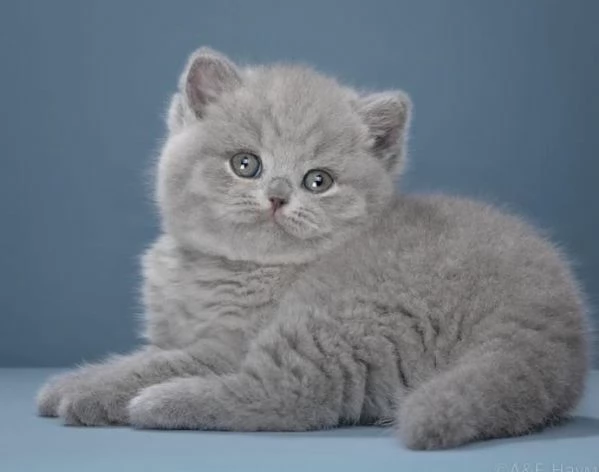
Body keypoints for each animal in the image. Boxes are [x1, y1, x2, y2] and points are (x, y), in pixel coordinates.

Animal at [37, 48, 592, 450]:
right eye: (246, 164)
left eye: (317, 180)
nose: (279, 196)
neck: (228, 267)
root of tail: (545, 329)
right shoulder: (172, 334)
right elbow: (145, 354)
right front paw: (73, 383)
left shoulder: (229, 345)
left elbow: (161, 363)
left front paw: (85, 391)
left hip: (344, 311)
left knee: (293, 395)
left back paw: (158, 404)